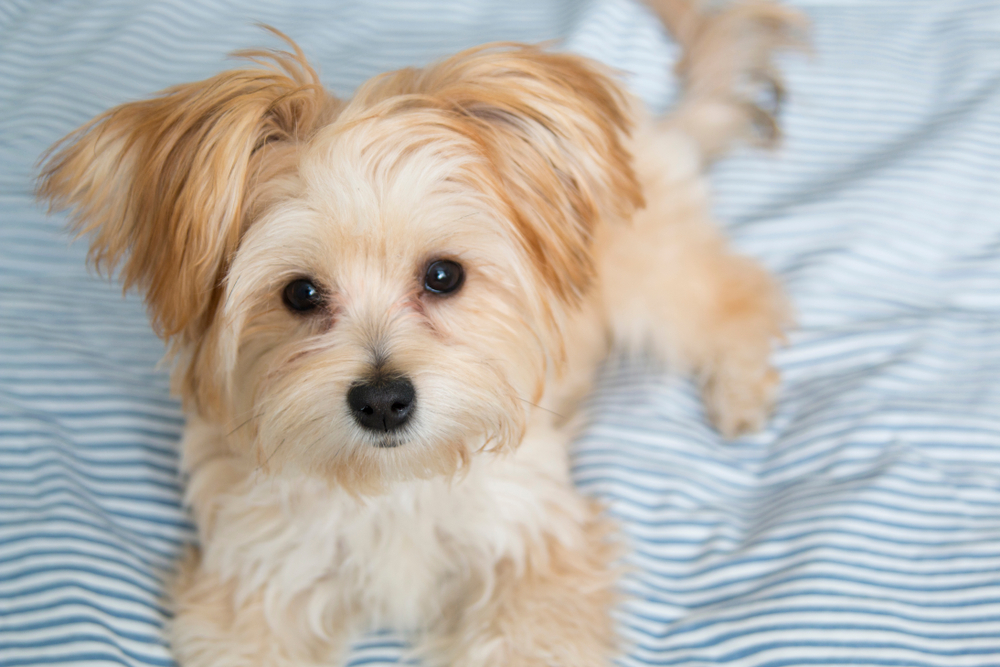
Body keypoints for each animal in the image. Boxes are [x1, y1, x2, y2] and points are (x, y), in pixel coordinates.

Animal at [37, 2, 804, 664]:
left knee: (741, 296)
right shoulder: (252, 583)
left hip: (649, 278)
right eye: (299, 293)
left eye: (443, 276)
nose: (382, 400)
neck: (393, 486)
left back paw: (741, 391)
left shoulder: (537, 558)